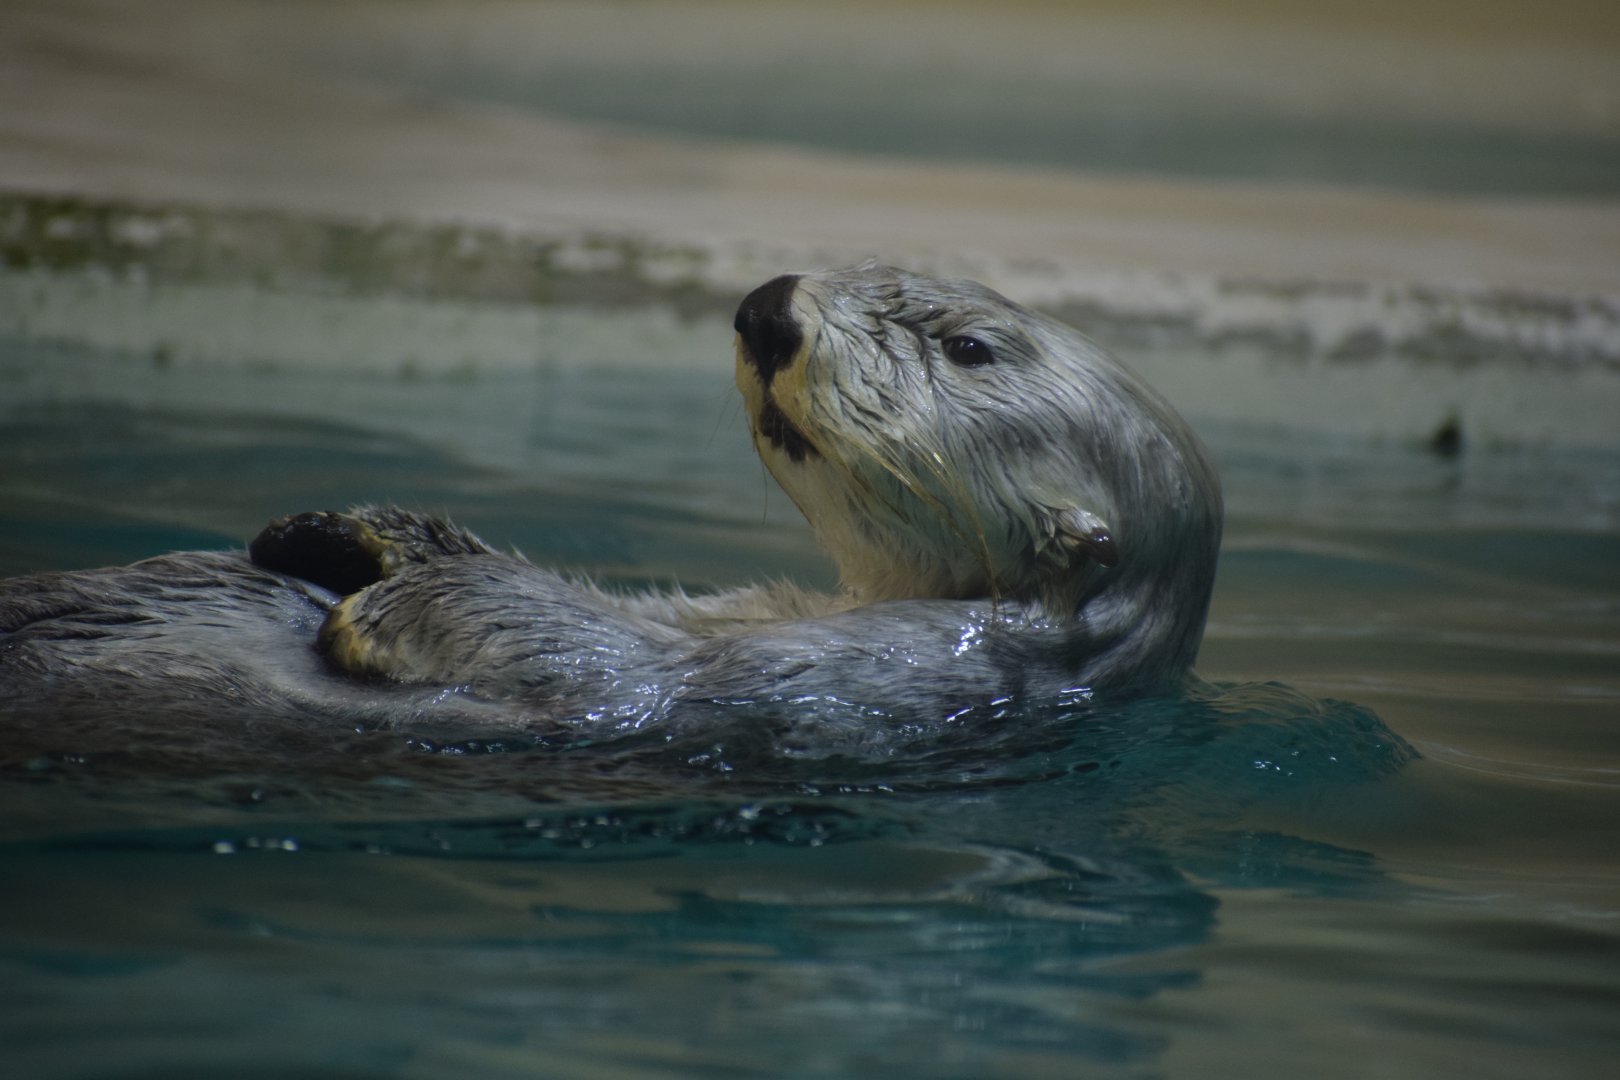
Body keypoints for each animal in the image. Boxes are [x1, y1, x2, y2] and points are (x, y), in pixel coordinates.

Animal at [0, 265, 1221, 736]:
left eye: (968, 349)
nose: (770, 305)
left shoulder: (874, 670)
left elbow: (606, 659)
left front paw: (390, 602)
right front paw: (360, 534)